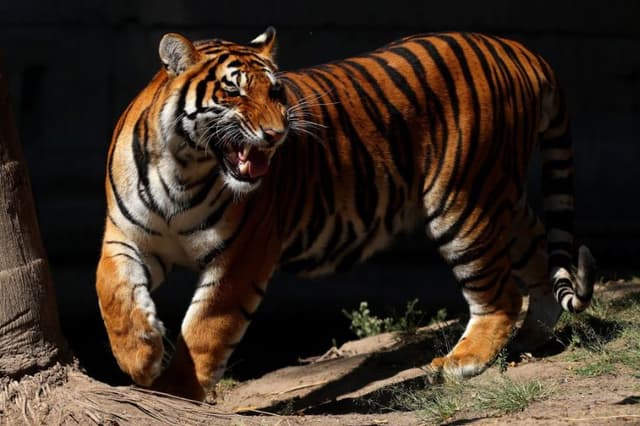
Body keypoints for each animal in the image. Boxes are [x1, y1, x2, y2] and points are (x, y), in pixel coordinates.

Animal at [96, 27, 596, 401]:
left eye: (275, 91)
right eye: (233, 90)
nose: (277, 135)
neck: (184, 169)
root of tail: (520, 49)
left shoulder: (241, 255)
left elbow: (204, 328)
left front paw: (174, 390)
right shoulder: (125, 234)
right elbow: (112, 291)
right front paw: (140, 358)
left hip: (464, 200)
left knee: (501, 294)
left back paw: (462, 361)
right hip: (500, 196)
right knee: (538, 256)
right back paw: (531, 339)